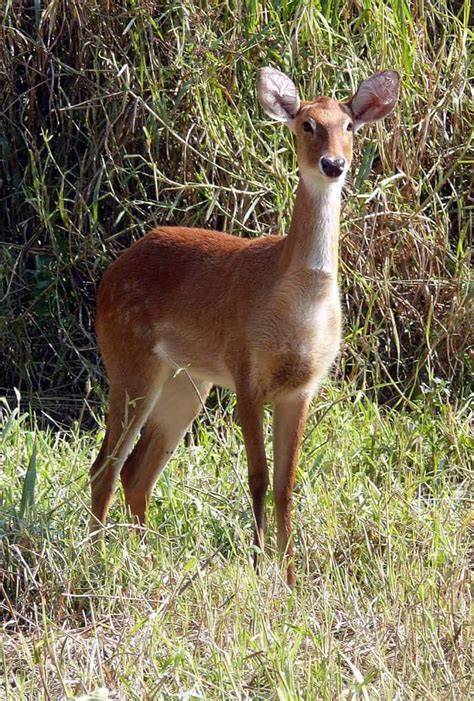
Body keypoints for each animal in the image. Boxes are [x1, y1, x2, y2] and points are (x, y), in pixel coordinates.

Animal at [90, 68, 400, 584]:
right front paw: (259, 569)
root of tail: (109, 274)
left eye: (349, 126)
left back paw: (143, 556)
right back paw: (96, 558)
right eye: (306, 124)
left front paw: (292, 577)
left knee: (138, 472)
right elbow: (256, 477)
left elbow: (285, 484)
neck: (298, 302)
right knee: (106, 465)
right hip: (130, 363)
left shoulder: (302, 387)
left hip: (187, 382)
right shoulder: (246, 373)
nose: (333, 164)